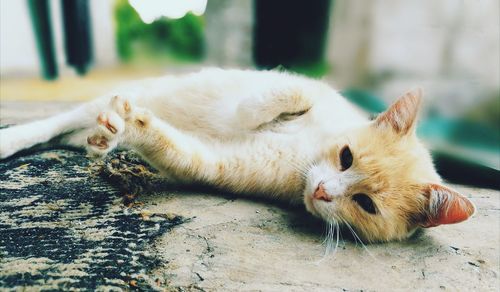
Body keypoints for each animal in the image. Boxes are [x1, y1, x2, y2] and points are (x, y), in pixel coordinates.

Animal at [0, 68, 474, 242]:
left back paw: (104, 138)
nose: (322, 191)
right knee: (53, 123)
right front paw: (252, 111)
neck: (307, 153)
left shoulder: (217, 164)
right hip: (130, 92)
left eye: (365, 204)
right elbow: (289, 92)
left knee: (74, 133)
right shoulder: (307, 89)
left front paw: (137, 128)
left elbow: (177, 149)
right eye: (346, 157)